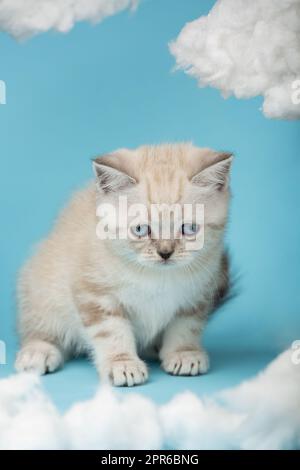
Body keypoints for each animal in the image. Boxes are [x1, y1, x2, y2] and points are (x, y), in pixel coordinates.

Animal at [15, 142, 233, 386]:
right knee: (40, 326)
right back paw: (38, 351)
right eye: (140, 229)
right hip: (42, 286)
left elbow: (186, 326)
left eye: (189, 228)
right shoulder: (94, 293)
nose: (165, 252)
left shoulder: (198, 296)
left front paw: (184, 353)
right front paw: (122, 363)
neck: (155, 276)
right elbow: (112, 332)